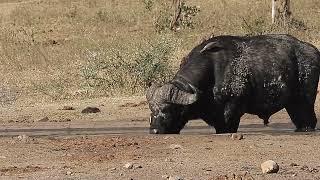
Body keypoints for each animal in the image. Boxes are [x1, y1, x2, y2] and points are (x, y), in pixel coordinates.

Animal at [146, 34, 320, 134]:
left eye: (168, 109)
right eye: (152, 109)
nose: (154, 130)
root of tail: (312, 50)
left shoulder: (232, 109)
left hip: (304, 101)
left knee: (309, 119)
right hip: (292, 104)